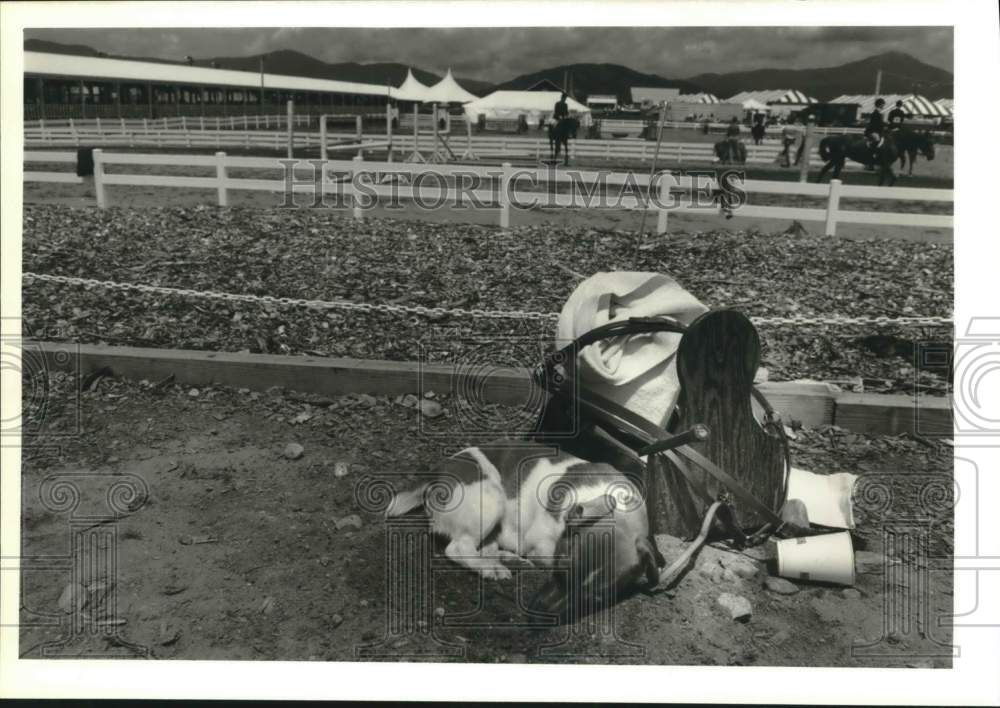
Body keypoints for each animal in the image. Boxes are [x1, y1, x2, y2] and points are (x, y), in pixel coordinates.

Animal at [388, 446, 664, 616]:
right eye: (561, 573)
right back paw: (490, 568)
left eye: (595, 599)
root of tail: (435, 474)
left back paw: (505, 561)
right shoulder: (541, 545)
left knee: (485, 547)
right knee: (458, 548)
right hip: (491, 497)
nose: (540, 612)